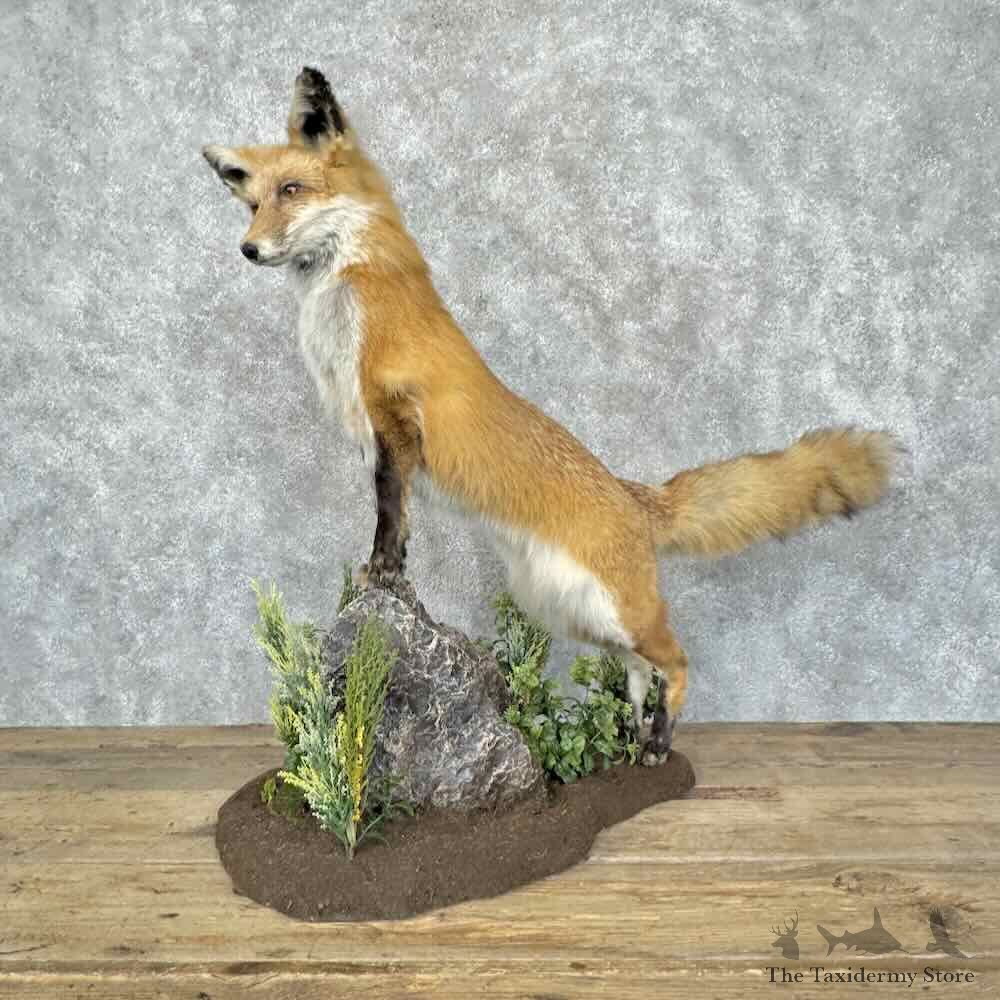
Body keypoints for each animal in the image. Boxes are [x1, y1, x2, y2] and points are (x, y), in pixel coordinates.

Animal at [203, 67, 897, 763]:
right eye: (252, 204)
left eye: (292, 191)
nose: (247, 248)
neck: (342, 292)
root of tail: (635, 496)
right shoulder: (382, 434)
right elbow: (396, 518)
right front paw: (388, 577)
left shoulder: (394, 416)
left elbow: (389, 517)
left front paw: (381, 577)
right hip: (571, 609)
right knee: (639, 671)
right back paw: (631, 739)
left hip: (616, 609)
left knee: (676, 661)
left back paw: (657, 743)